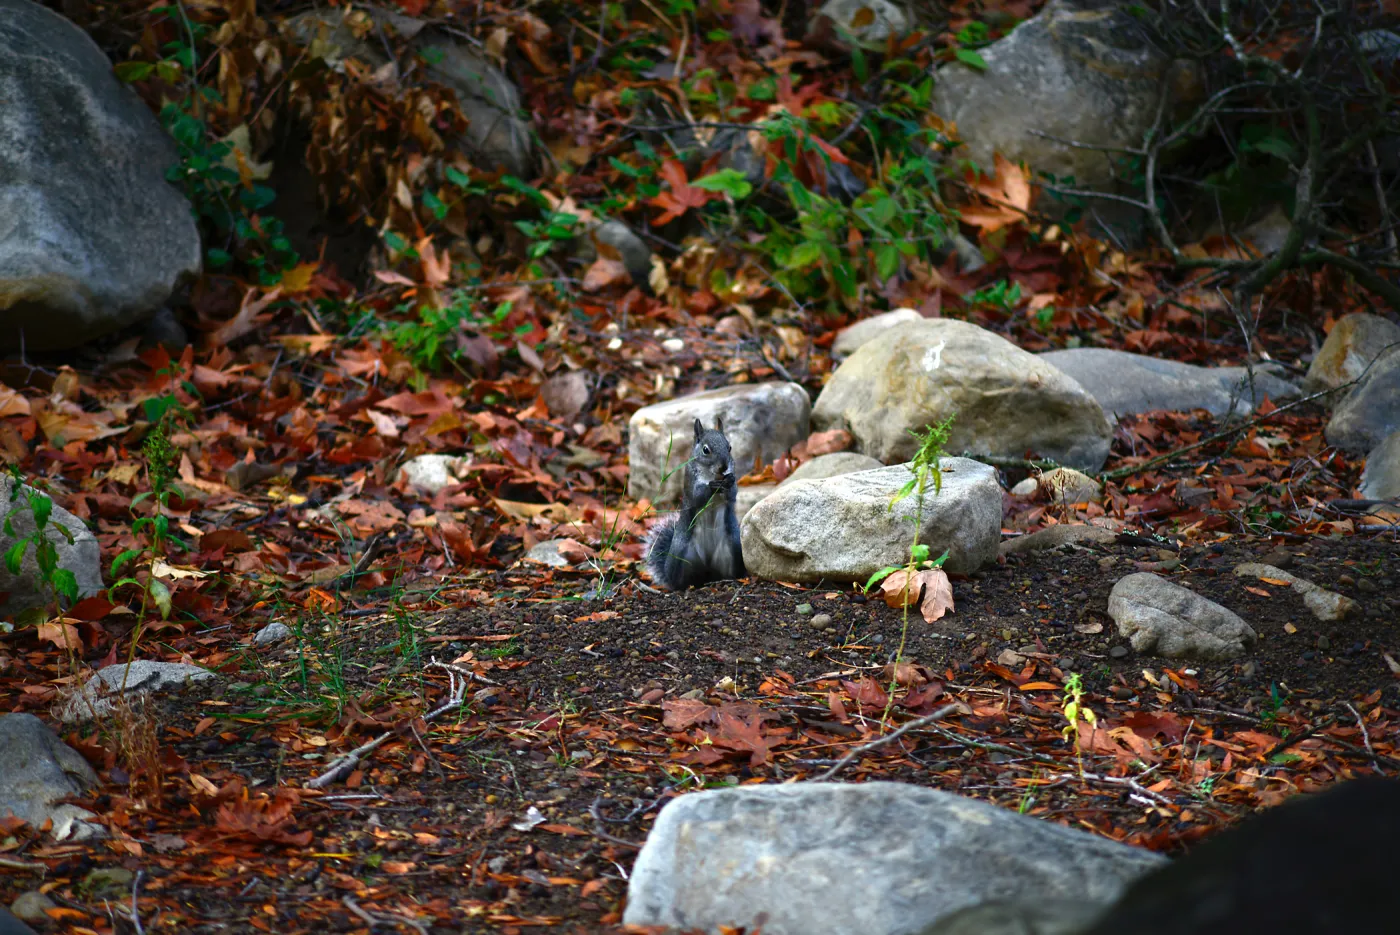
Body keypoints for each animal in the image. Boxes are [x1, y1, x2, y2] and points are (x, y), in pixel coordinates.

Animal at [644, 418, 746, 590]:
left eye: (729, 447)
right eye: (705, 450)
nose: (724, 466)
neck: (713, 475)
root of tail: (708, 570)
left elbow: (732, 495)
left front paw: (729, 481)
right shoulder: (690, 481)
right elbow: (697, 496)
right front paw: (711, 487)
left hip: (734, 548)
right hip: (680, 557)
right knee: (681, 580)